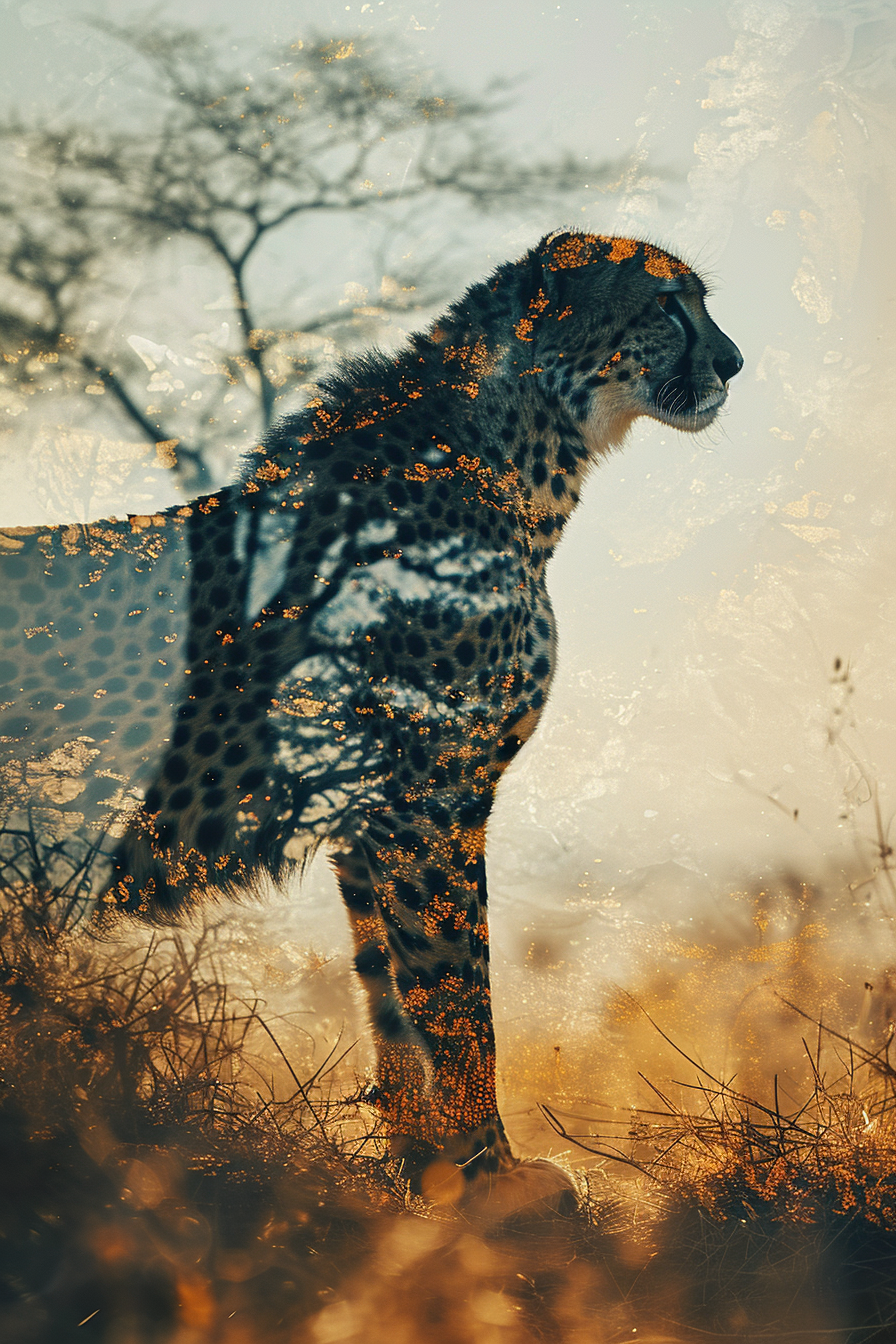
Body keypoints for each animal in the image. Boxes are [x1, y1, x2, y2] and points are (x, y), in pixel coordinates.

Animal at [1, 231, 741, 1209]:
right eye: (667, 303)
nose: (734, 362)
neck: (522, 458)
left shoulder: (370, 813)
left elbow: (391, 993)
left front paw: (426, 1168)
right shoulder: (431, 801)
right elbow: (458, 998)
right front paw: (493, 1173)